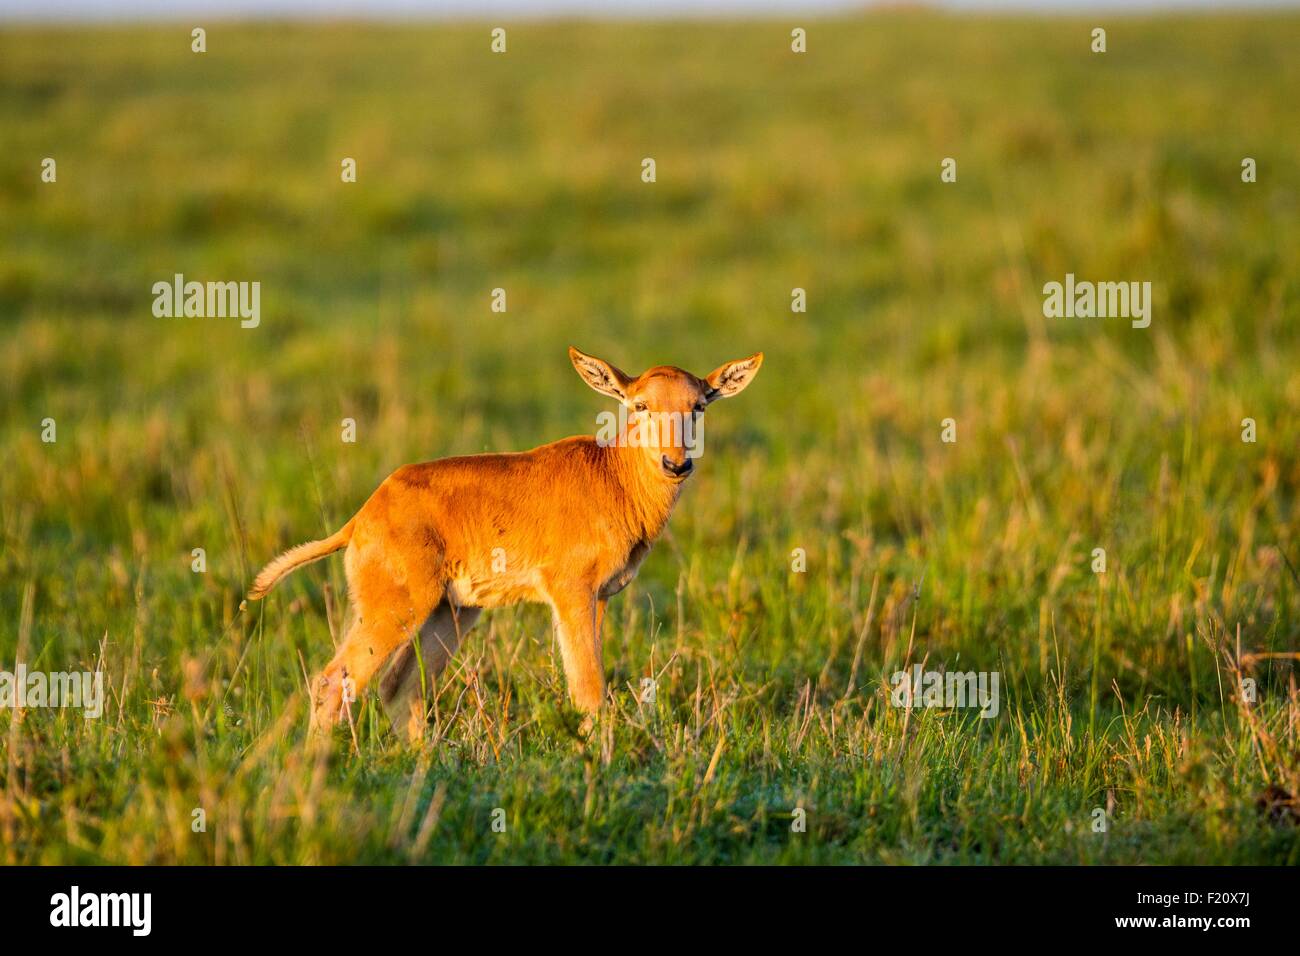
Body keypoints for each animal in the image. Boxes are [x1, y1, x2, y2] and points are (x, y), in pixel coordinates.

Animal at [245, 348, 759, 738]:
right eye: (640, 405)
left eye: (699, 405)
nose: (677, 465)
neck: (610, 474)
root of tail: (361, 518)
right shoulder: (570, 593)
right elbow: (588, 691)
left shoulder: (599, 598)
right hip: (396, 608)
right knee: (334, 681)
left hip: (451, 612)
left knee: (400, 688)